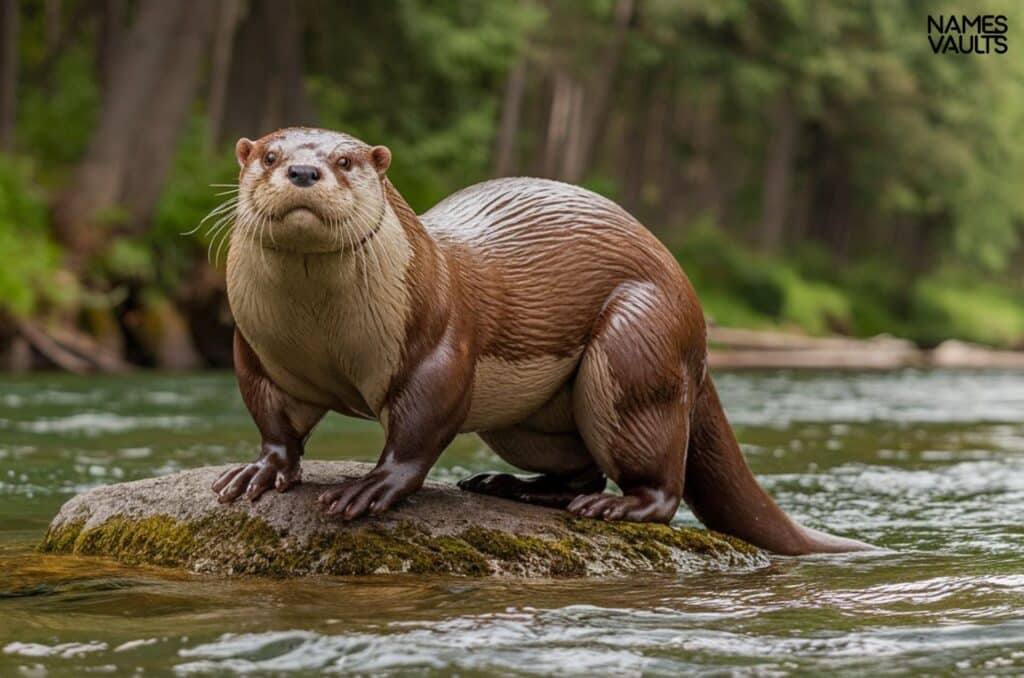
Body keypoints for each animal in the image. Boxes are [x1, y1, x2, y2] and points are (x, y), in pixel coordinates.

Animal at [214, 127, 872, 557]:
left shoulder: (438, 345)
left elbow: (418, 430)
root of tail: (698, 328)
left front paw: (370, 488)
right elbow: (273, 419)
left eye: (347, 160)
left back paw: (616, 508)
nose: (303, 171)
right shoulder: (256, 351)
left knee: (660, 481)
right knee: (580, 468)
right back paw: (511, 488)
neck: (324, 335)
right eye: (269, 154)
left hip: (634, 350)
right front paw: (259, 472)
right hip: (525, 423)